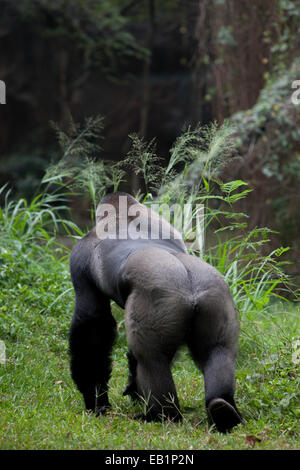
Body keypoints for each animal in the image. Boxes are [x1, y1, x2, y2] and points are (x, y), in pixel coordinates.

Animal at [69, 192, 243, 434]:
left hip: (162, 299)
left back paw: (162, 415)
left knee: (152, 359)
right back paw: (224, 409)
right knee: (218, 351)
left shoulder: (80, 255)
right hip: (216, 296)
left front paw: (95, 399)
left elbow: (92, 323)